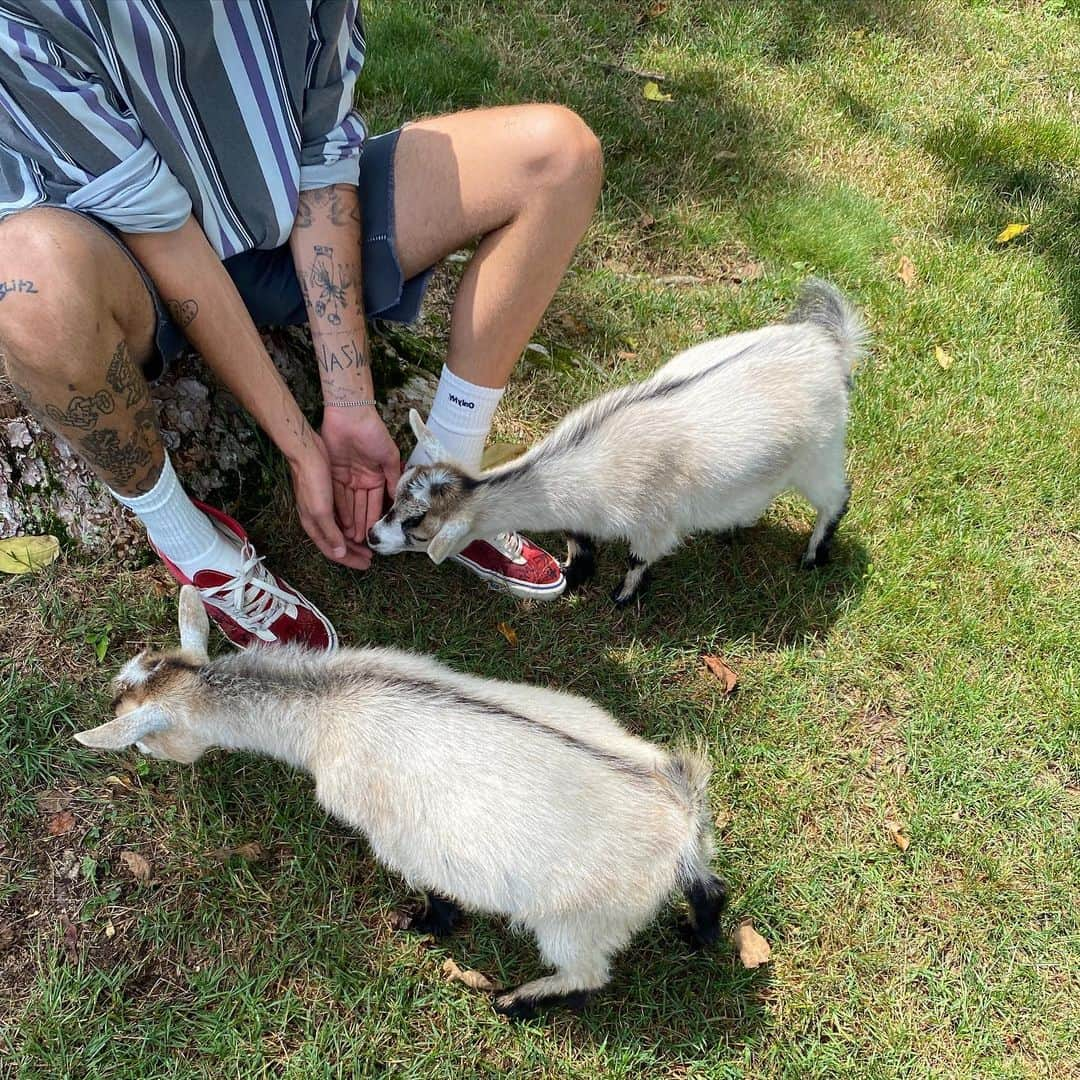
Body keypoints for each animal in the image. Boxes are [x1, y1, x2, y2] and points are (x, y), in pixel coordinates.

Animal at [73, 587, 725, 1015]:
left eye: (142, 737)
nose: (139, 754)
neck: (325, 709)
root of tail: (677, 812)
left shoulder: (397, 835)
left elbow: (433, 890)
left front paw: (426, 924)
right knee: (711, 889)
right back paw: (698, 935)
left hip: (577, 920)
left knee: (588, 973)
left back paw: (516, 1000)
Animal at [371, 276, 868, 609]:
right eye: (396, 496)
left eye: (417, 526)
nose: (373, 535)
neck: (578, 464)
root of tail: (828, 347)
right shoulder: (581, 513)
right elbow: (577, 539)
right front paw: (575, 574)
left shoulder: (653, 521)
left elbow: (637, 558)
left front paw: (622, 597)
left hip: (820, 453)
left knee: (836, 497)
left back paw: (813, 555)